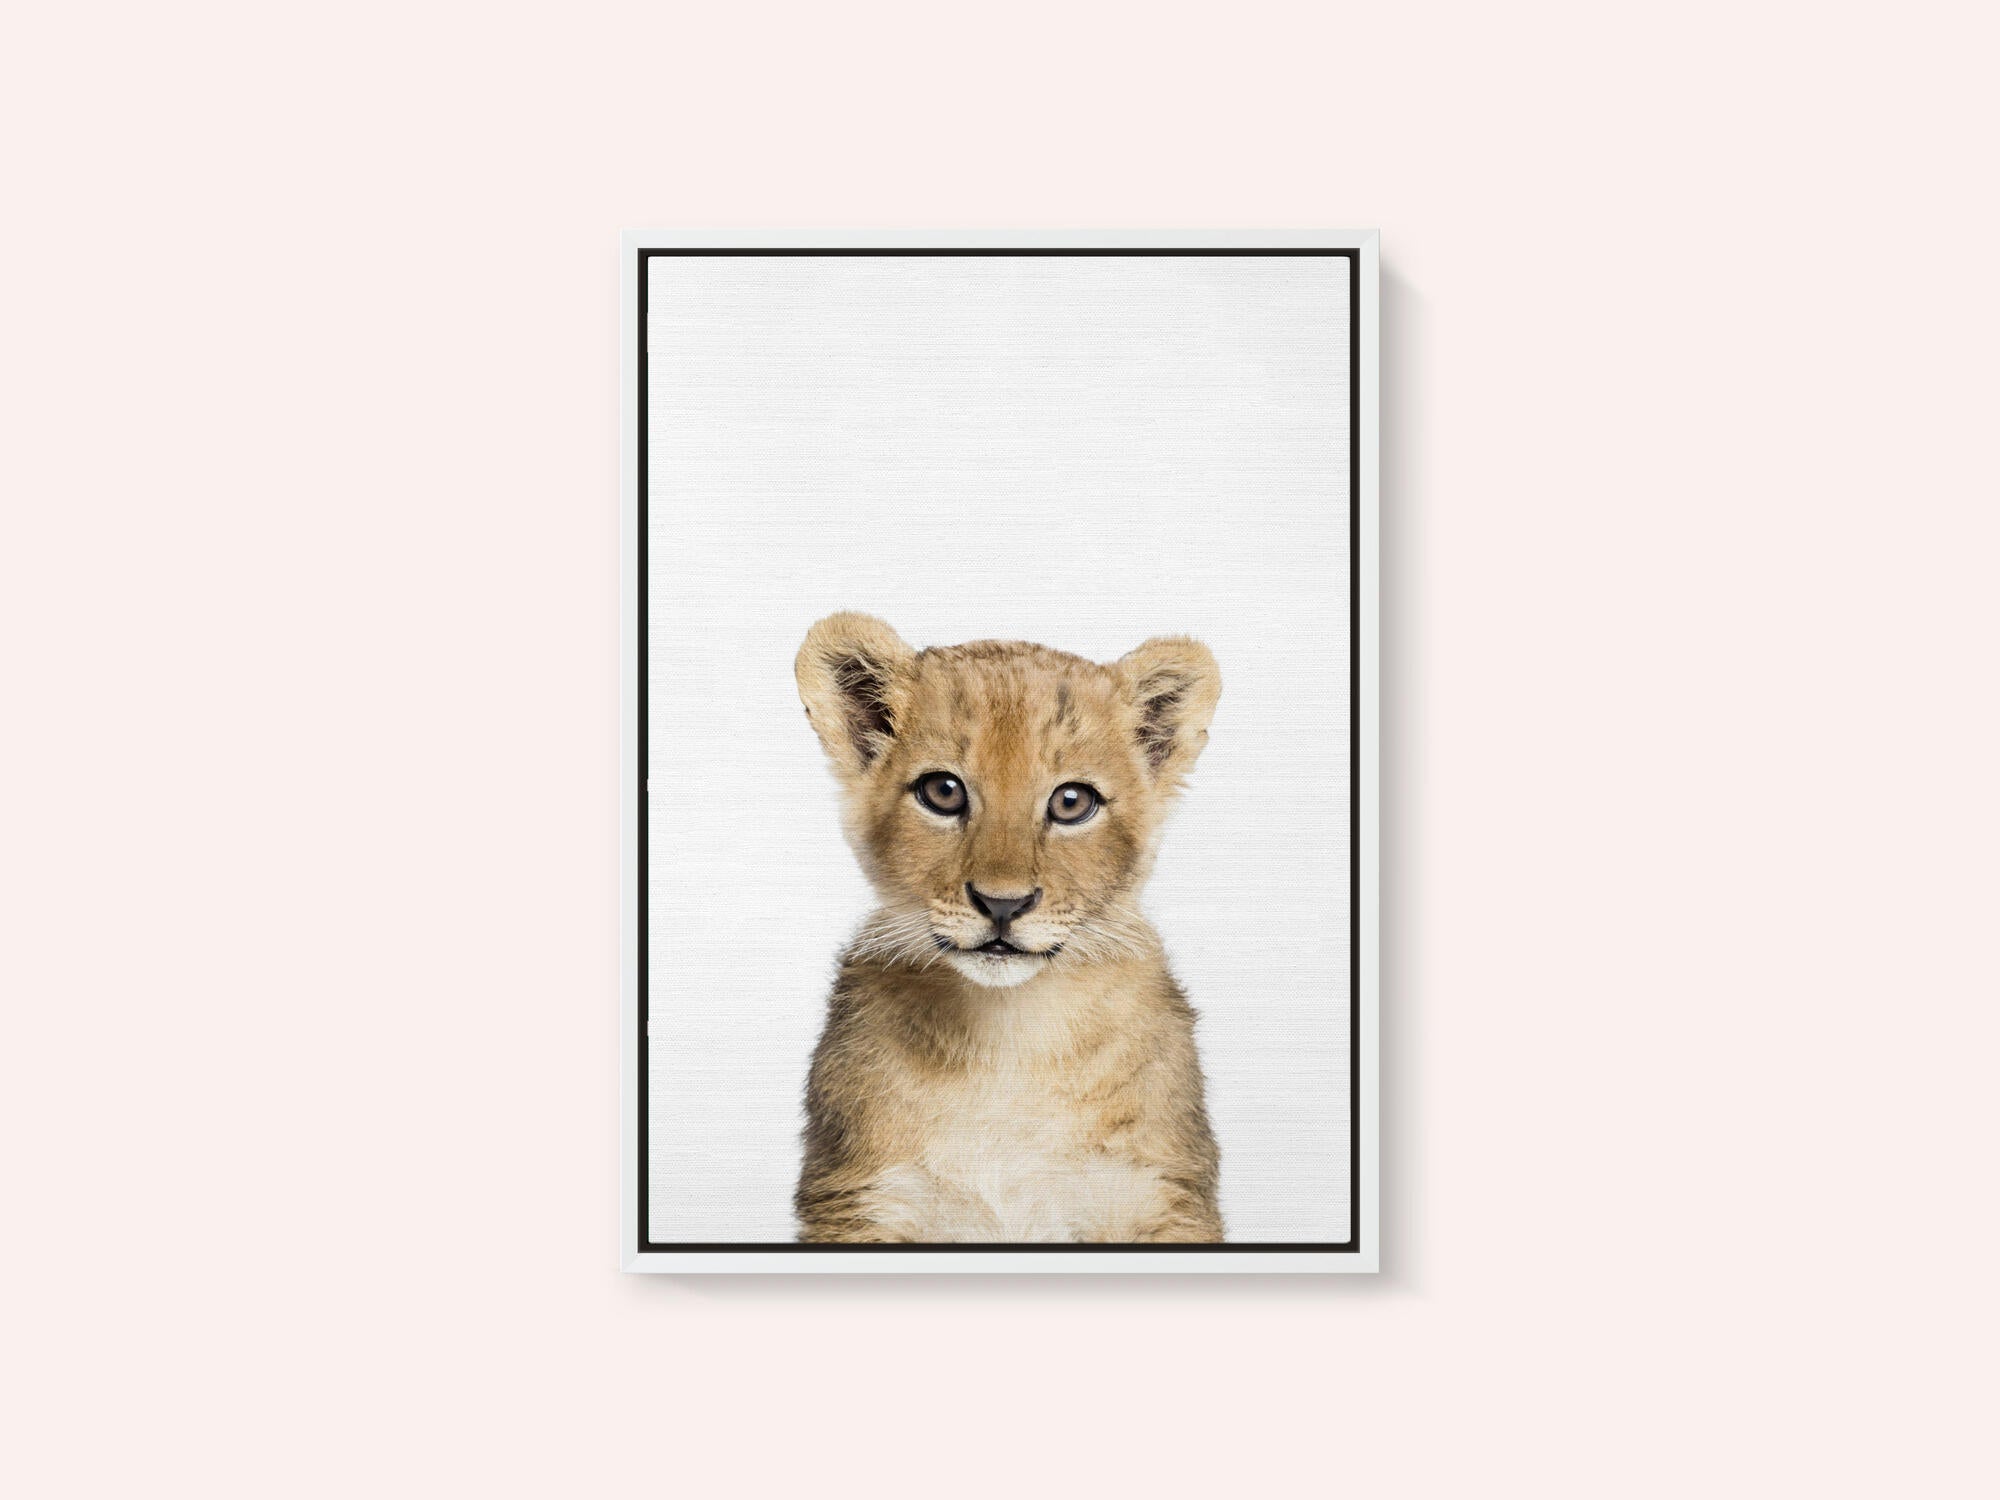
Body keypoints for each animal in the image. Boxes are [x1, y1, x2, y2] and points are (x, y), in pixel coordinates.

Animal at [792, 612, 1225, 1243]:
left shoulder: (1161, 1195)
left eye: (1072, 801)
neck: (1009, 1036)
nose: (1002, 905)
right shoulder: (860, 1199)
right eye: (943, 792)